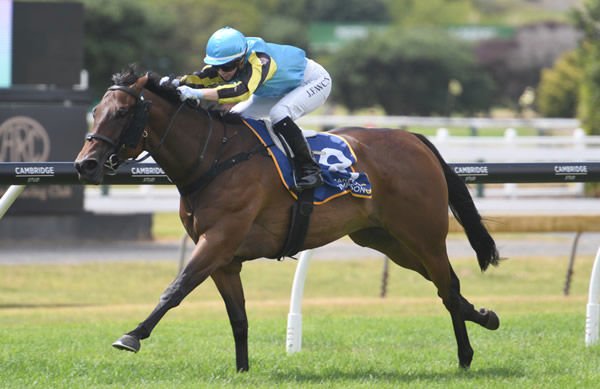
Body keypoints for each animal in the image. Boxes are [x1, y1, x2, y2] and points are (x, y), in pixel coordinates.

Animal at [74, 68, 502, 372]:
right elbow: (238, 317)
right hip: (384, 239)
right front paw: (242, 370)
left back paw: (466, 353)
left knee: (447, 286)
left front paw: (132, 335)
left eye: (123, 112)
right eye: (95, 111)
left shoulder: (218, 241)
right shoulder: (225, 259)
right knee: (446, 286)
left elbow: (175, 288)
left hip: (423, 234)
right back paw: (485, 317)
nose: (85, 165)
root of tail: (415, 138)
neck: (214, 157)